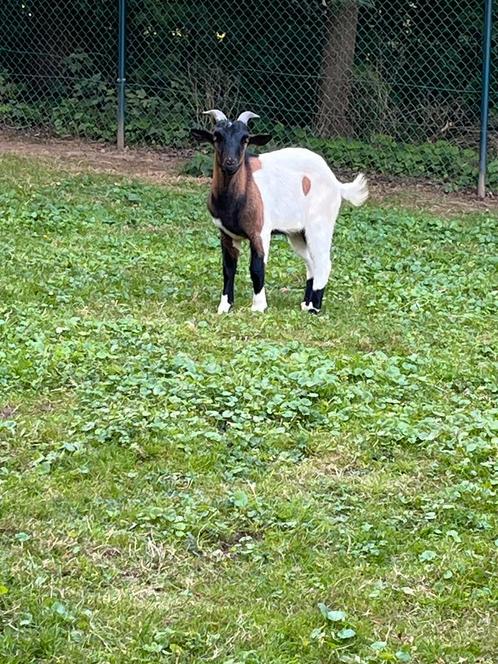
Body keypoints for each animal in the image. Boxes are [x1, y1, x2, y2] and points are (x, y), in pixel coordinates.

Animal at [193, 108, 368, 314]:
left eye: (245, 139)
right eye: (216, 137)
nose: (231, 162)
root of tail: (336, 183)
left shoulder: (260, 232)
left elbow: (256, 267)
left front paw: (258, 306)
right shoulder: (226, 233)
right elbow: (228, 269)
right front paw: (224, 306)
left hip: (320, 223)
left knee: (324, 262)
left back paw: (314, 308)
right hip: (297, 233)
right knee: (311, 262)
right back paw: (305, 303)